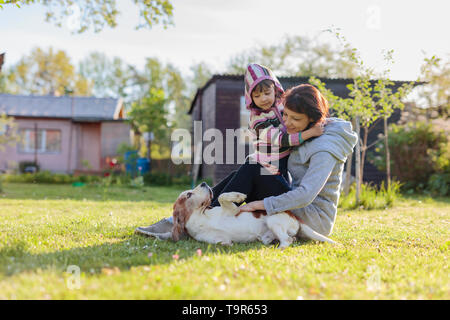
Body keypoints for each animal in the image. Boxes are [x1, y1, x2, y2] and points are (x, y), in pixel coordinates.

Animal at [171, 181, 340, 249]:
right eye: (188, 195)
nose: (204, 183)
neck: (201, 218)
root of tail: (295, 218)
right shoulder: (217, 240)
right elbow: (223, 242)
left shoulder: (232, 211)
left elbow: (222, 197)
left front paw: (238, 196)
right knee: (287, 239)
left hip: (273, 220)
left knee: (287, 239)